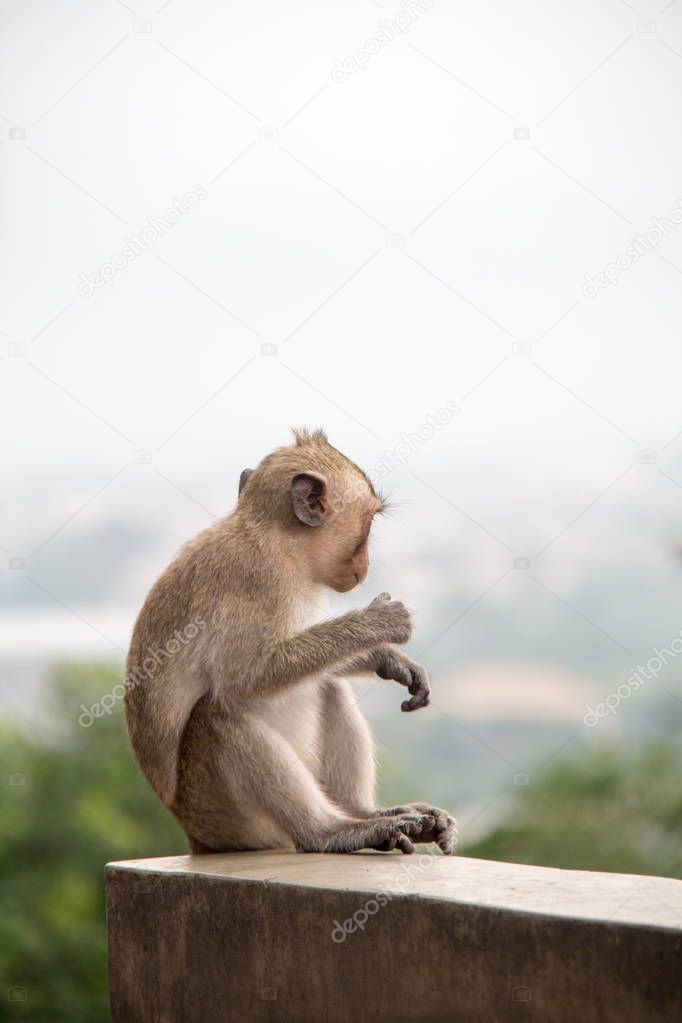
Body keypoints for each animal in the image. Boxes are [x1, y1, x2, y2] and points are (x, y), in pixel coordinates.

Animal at [126, 427, 458, 859]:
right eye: (369, 522)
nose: (365, 565)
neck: (282, 544)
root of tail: (196, 837)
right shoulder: (259, 580)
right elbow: (246, 677)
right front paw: (378, 623)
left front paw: (387, 658)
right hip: (218, 812)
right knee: (216, 716)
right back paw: (332, 831)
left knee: (327, 683)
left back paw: (363, 812)